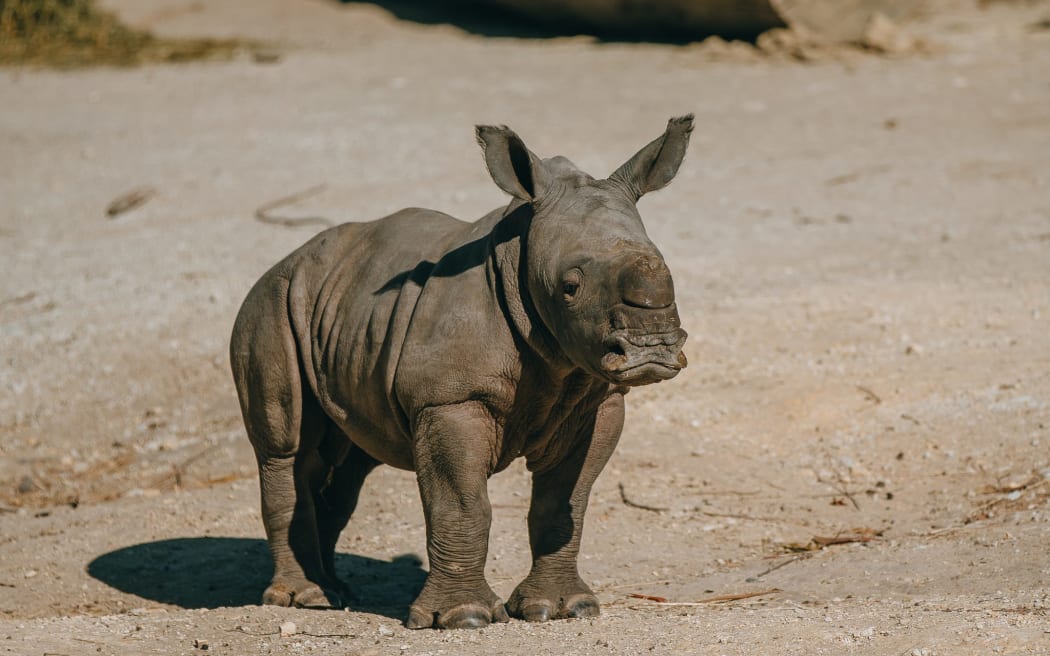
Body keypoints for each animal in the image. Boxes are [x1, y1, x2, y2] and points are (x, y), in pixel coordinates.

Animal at [230, 115, 693, 629]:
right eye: (570, 287)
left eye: (670, 270)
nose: (651, 349)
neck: (519, 257)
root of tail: (284, 261)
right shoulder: (450, 399)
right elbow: (462, 504)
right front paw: (463, 618)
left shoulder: (599, 400)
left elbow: (564, 503)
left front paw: (562, 609)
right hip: (269, 304)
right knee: (288, 446)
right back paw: (304, 598)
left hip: (340, 312)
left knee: (349, 460)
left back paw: (334, 591)